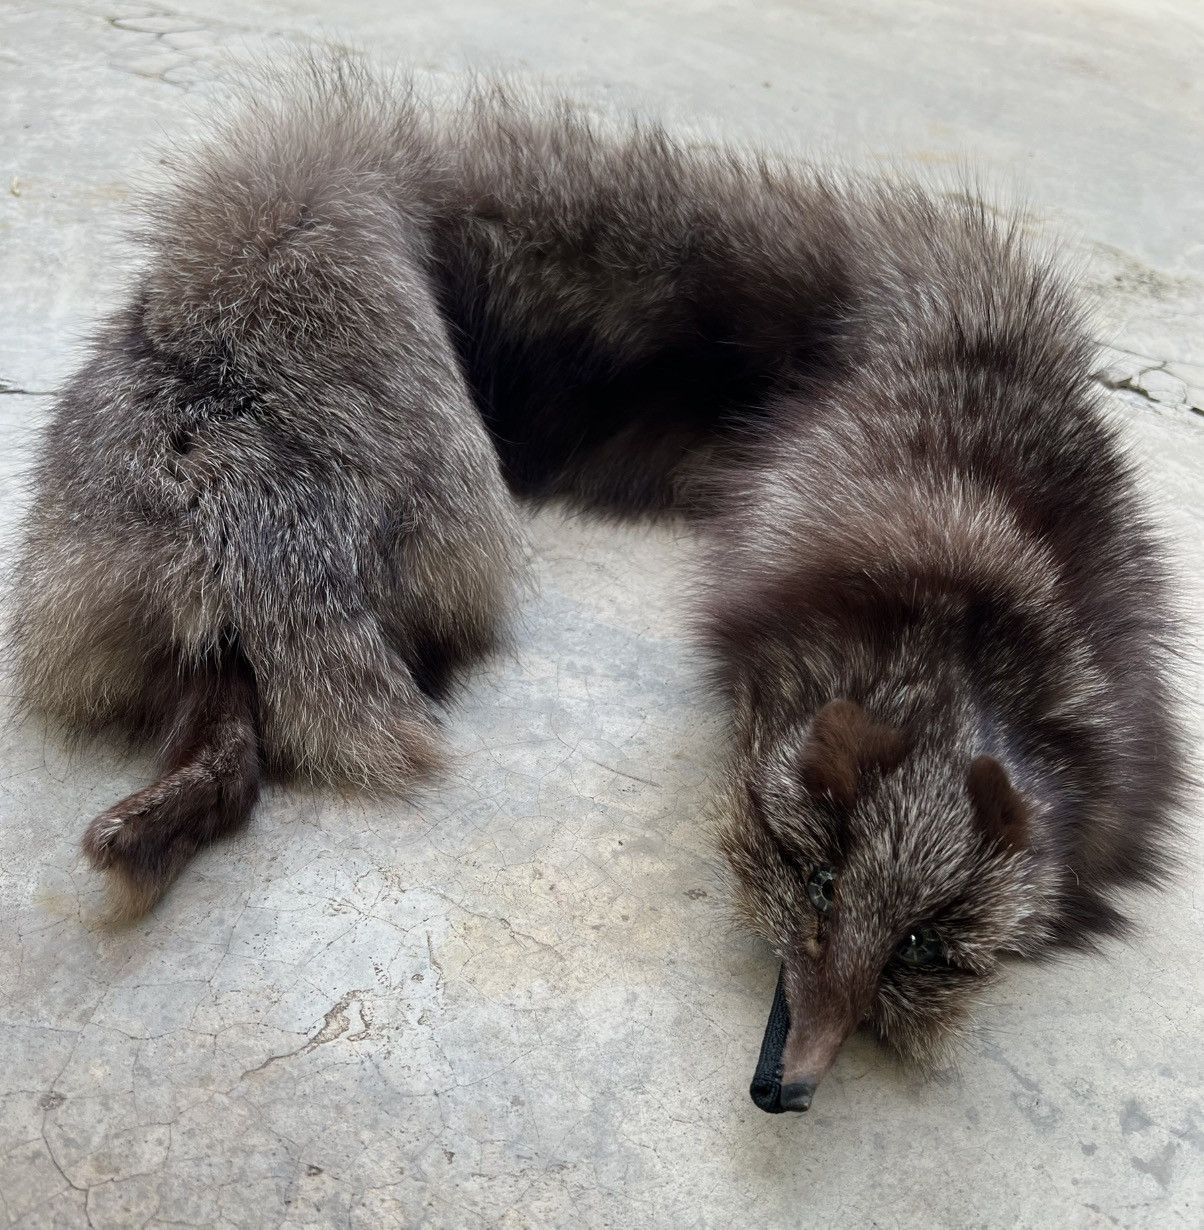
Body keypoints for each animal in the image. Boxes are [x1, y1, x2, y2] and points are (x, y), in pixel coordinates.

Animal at [7, 58, 1186, 1112]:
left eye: (924, 948)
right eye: (818, 882)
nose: (786, 1090)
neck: (978, 607)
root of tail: (229, 506)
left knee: (227, 720)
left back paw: (163, 817)